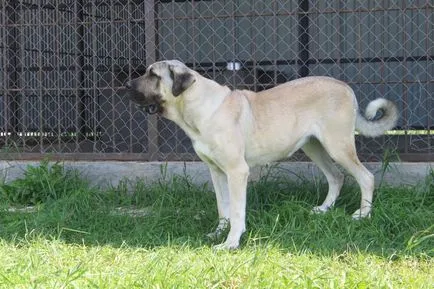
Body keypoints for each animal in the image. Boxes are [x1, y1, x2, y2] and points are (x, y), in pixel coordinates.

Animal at [124, 59, 398, 249]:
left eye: (153, 75)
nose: (126, 84)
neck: (196, 108)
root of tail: (345, 86)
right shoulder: (217, 172)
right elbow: (223, 207)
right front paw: (218, 232)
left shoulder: (237, 172)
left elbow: (236, 211)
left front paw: (231, 242)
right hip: (314, 146)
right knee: (336, 177)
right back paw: (324, 209)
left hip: (337, 146)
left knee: (365, 177)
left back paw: (362, 215)